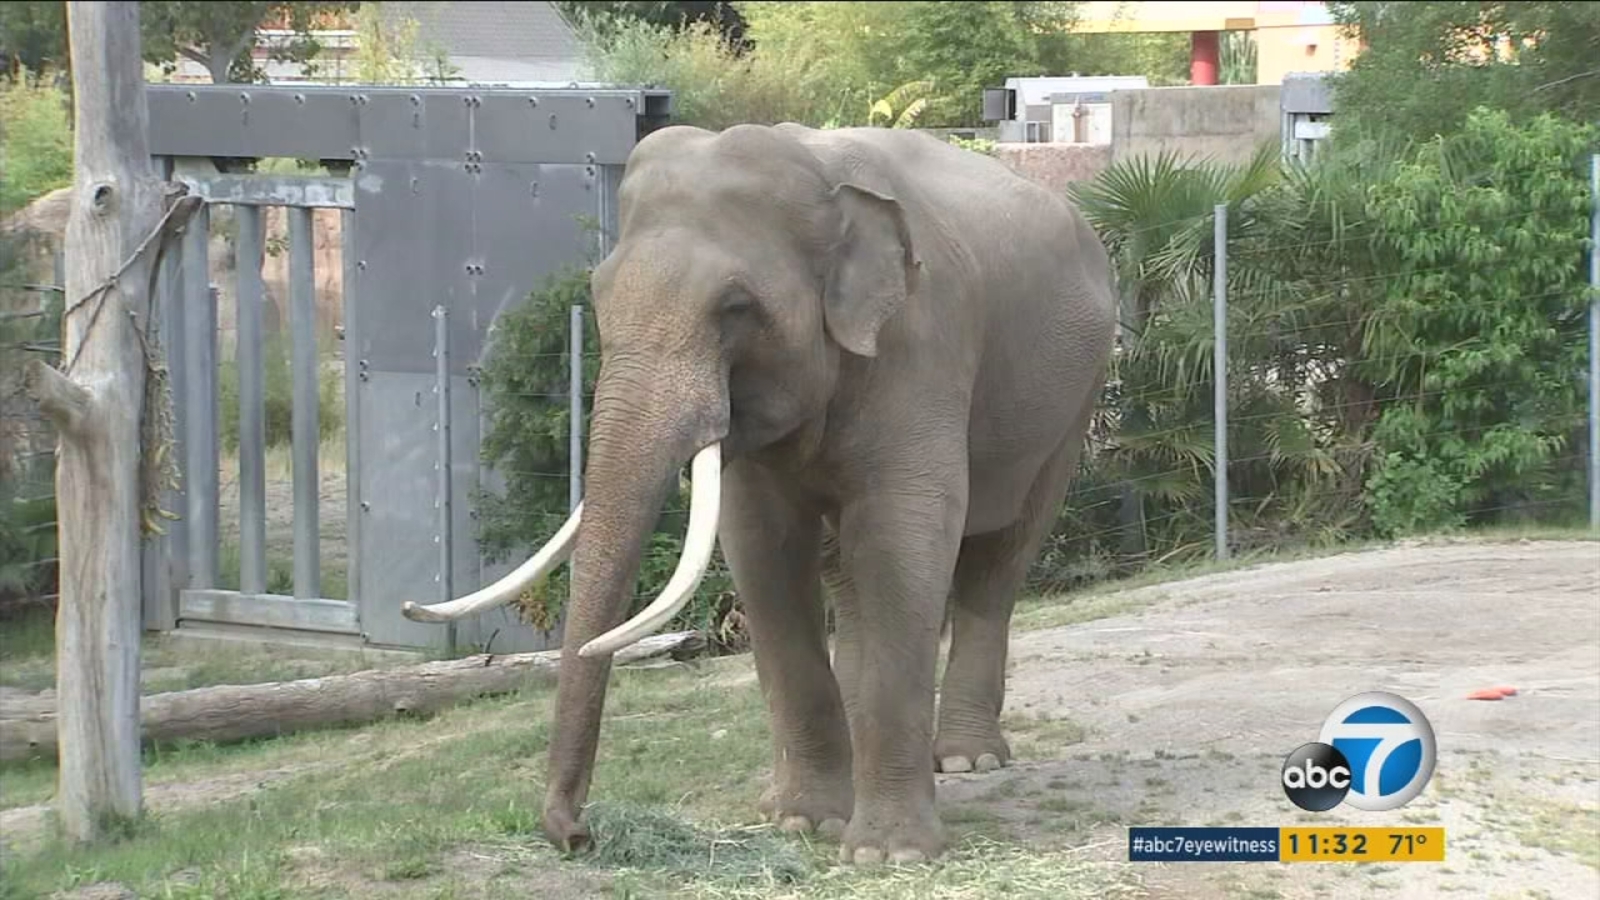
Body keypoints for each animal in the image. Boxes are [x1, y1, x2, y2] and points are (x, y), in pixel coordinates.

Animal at [402, 122, 1118, 865]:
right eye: (597, 297)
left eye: (735, 307)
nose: (576, 834)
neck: (820, 174)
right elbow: (762, 546)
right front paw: (802, 823)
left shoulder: (923, 347)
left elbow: (901, 536)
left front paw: (886, 855)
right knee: (847, 572)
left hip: (1077, 399)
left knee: (1000, 555)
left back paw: (966, 760)